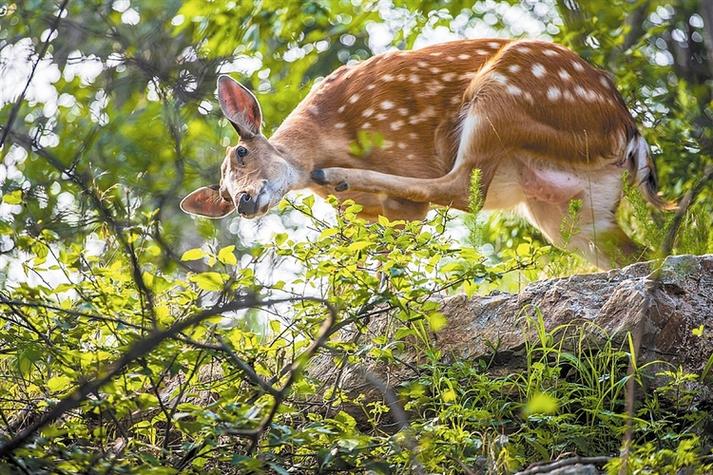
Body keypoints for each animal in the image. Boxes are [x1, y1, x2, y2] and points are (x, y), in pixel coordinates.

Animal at [180, 38, 674, 269]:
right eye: (223, 196)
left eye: (242, 151)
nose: (244, 202)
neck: (326, 133)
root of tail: (628, 130)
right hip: (570, 207)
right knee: (635, 253)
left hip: (502, 93)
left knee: (462, 190)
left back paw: (336, 175)